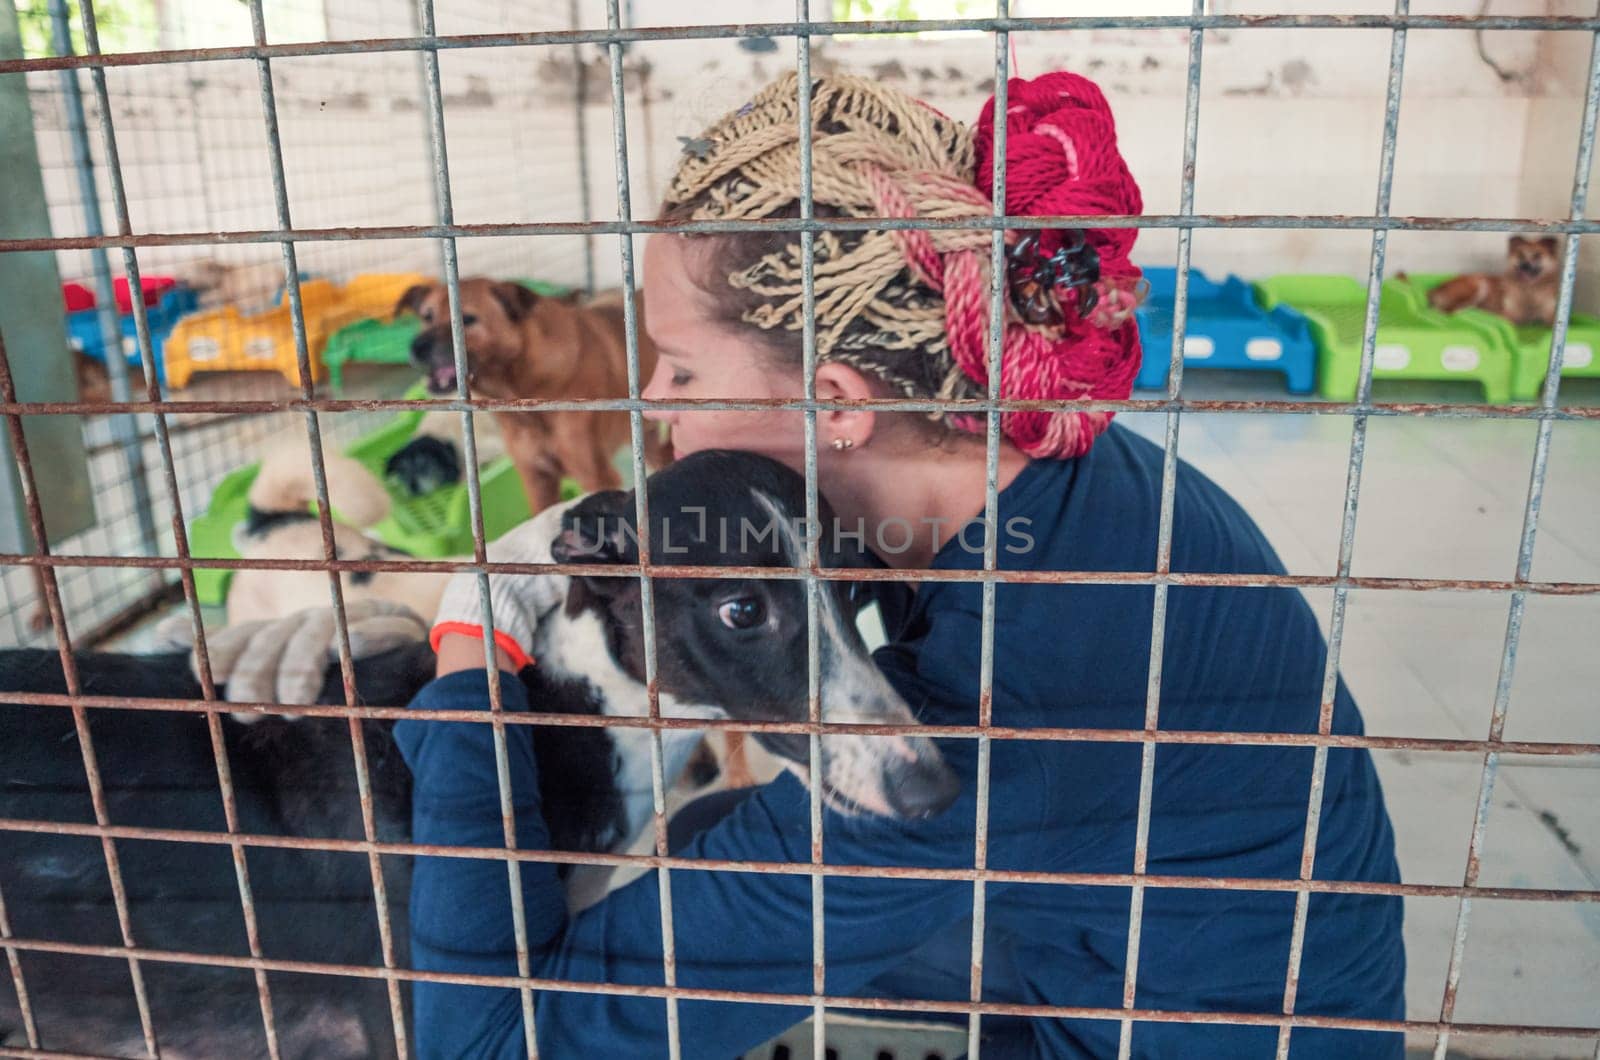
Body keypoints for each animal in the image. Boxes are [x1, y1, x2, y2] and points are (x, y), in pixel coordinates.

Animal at [1427, 235, 1561, 323]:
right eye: (1520, 255)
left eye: (1538, 255)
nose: (1525, 266)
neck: (1530, 289)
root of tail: (1435, 289)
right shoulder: (1508, 315)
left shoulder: (1549, 313)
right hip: (1478, 285)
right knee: (1447, 310)